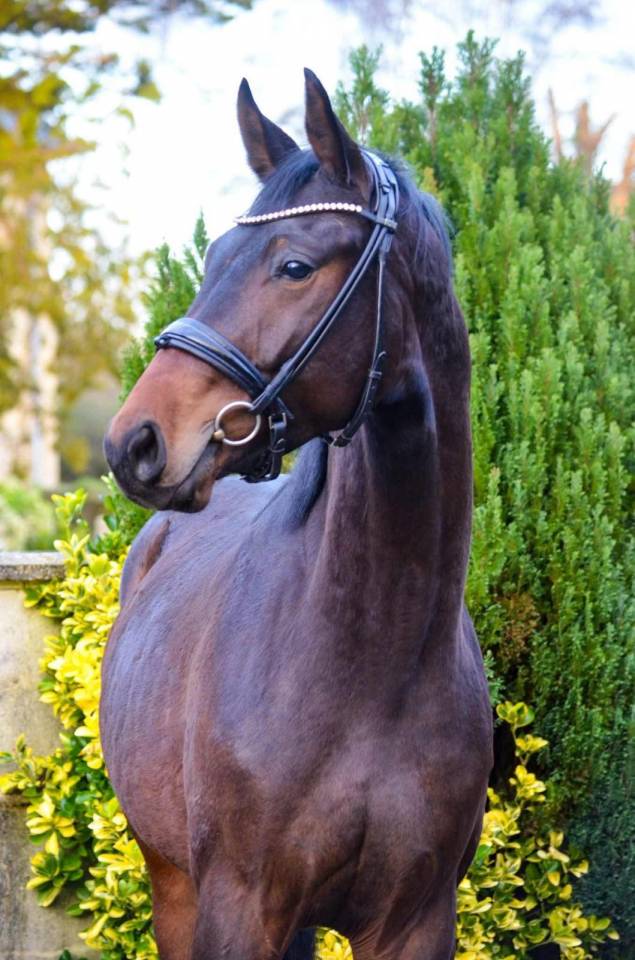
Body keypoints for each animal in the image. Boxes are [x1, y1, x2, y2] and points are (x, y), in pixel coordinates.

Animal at [101, 70, 493, 960]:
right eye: (214, 257)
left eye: (293, 264)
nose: (135, 441)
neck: (375, 662)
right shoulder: (239, 907)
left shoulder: (416, 921)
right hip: (172, 882)